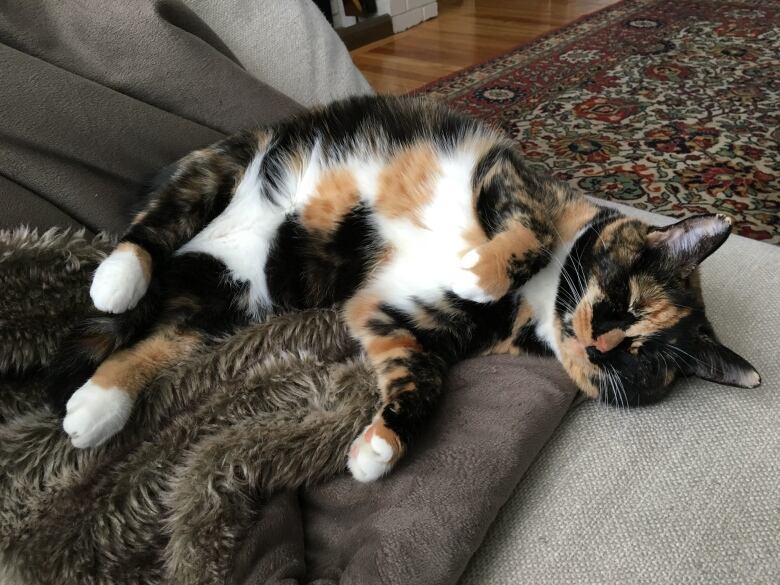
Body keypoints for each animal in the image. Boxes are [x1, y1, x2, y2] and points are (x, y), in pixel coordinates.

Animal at [45, 94, 760, 480]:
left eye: (640, 363)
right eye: (624, 302)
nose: (601, 345)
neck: (536, 300)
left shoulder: (401, 318)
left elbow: (423, 382)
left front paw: (379, 450)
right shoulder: (506, 176)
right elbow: (525, 231)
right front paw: (480, 270)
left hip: (231, 296)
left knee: (159, 341)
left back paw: (97, 407)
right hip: (223, 166)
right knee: (151, 229)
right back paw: (117, 279)